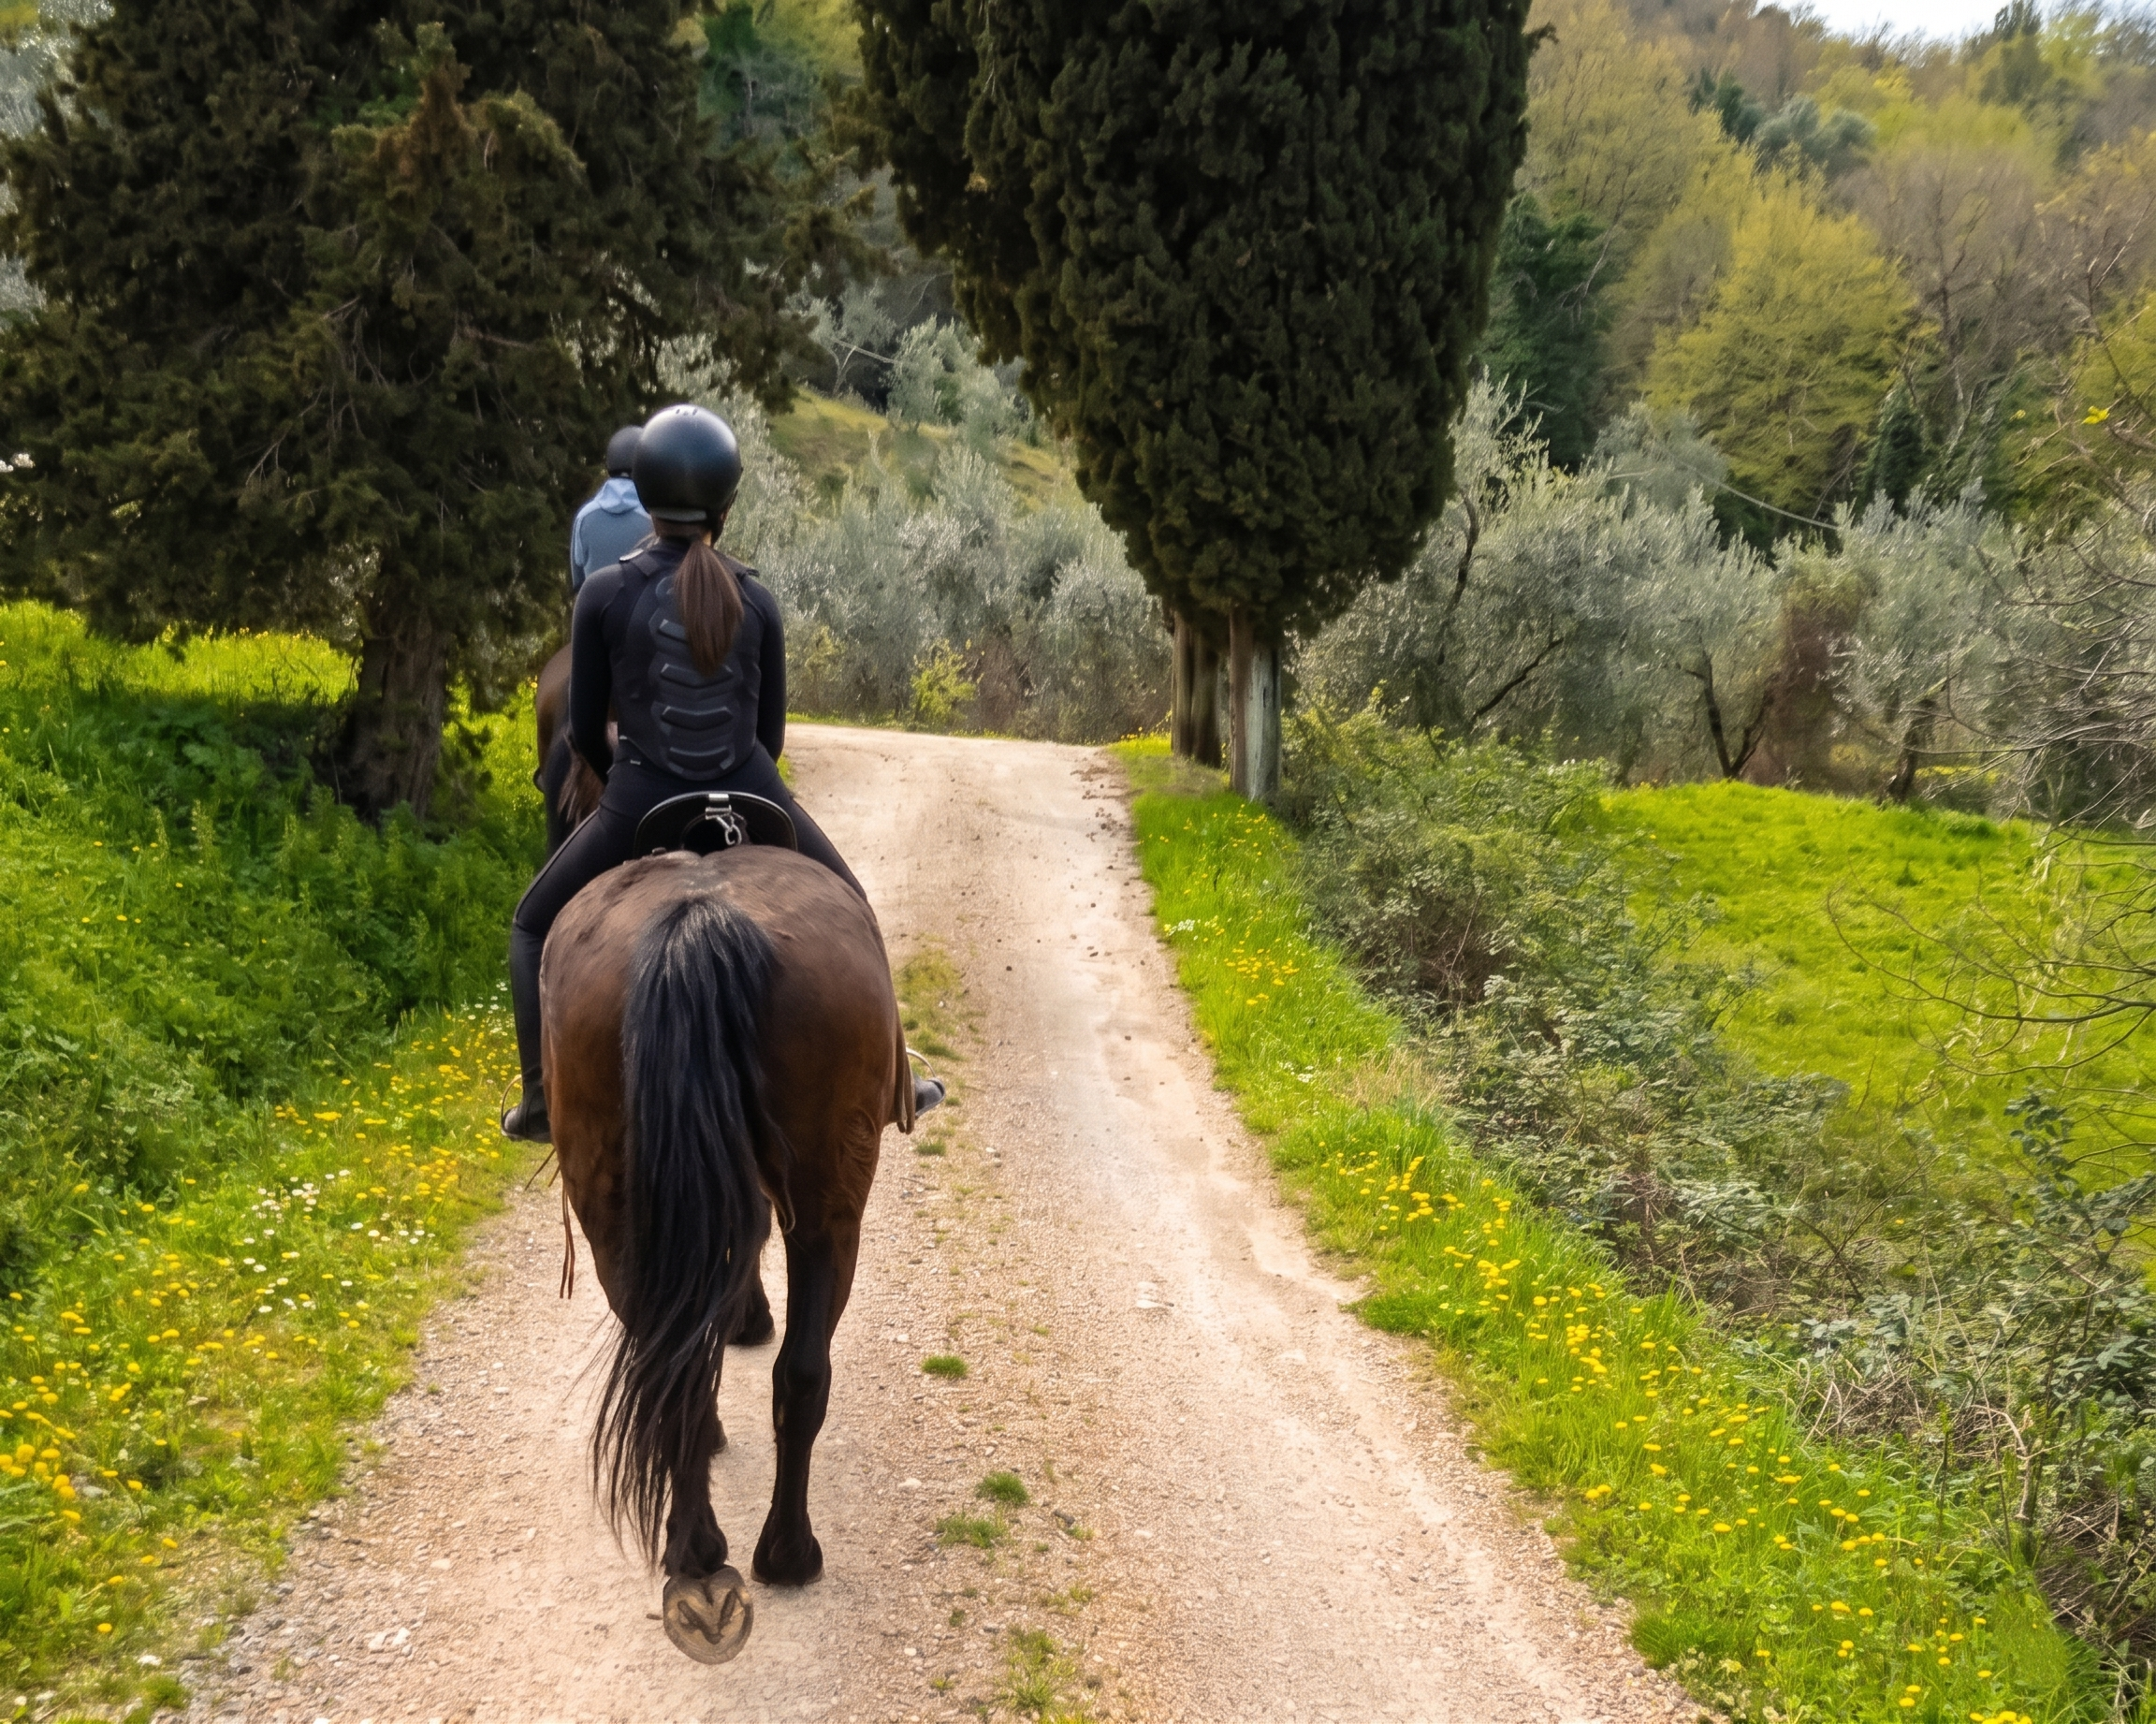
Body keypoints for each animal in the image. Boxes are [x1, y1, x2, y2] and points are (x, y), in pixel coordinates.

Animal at [541, 841, 913, 1664]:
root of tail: (697, 922)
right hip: (829, 1207)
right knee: (793, 1373)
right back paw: (780, 1554)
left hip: (619, 1215)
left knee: (678, 1366)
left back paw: (706, 1547)